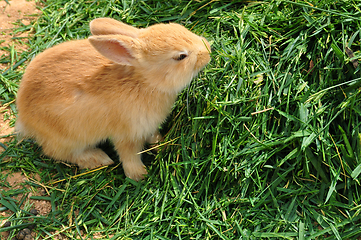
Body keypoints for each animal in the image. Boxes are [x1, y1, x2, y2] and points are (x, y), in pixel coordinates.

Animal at [16, 17, 211, 181]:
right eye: (181, 56)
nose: (208, 50)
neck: (144, 82)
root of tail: (24, 117)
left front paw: (158, 141)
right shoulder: (127, 134)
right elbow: (129, 155)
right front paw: (139, 175)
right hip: (67, 138)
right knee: (59, 153)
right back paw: (97, 158)